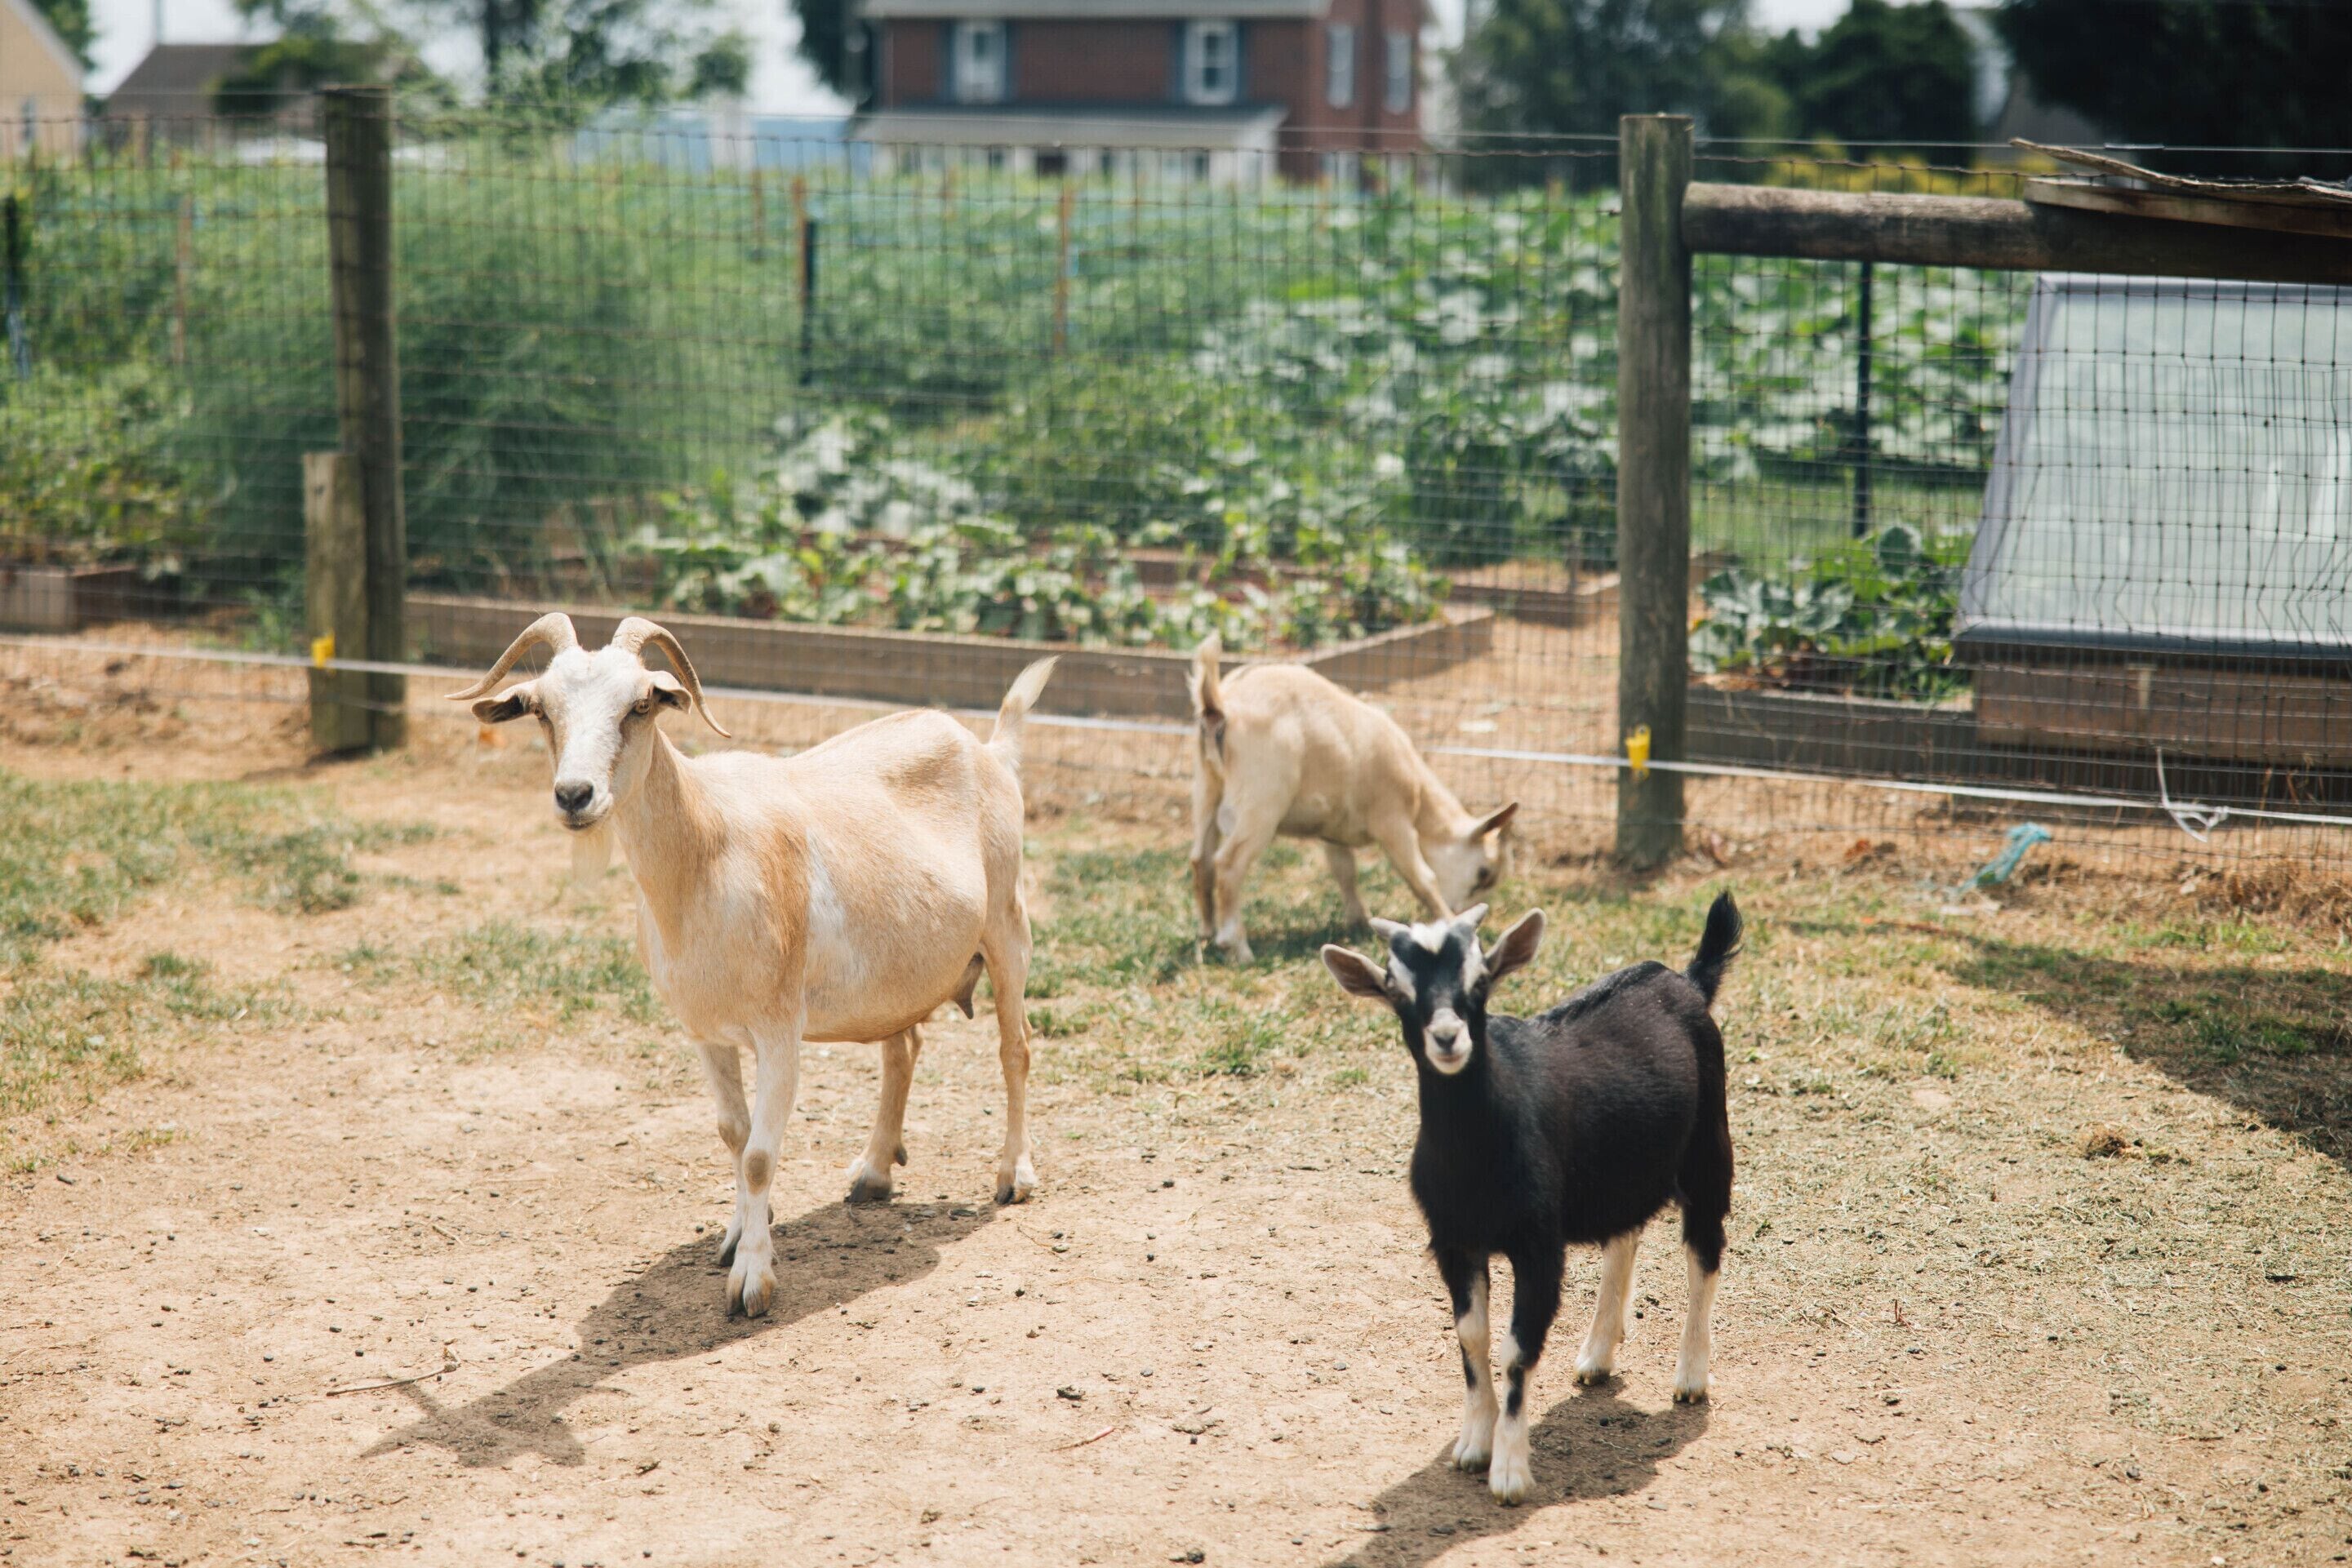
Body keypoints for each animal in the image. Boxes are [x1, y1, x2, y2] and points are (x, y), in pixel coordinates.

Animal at [451, 613, 1055, 1317]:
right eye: (542, 709)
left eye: (640, 704)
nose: (576, 795)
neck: (706, 848)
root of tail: (990, 749)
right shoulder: (705, 1032)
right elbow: (733, 1137)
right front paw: (737, 1235)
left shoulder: (779, 1028)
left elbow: (762, 1155)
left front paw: (751, 1282)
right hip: (896, 974)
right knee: (903, 1049)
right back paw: (873, 1172)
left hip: (1008, 924)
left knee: (1016, 1047)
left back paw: (1013, 1175)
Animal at [1188, 635, 1515, 963]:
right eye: (1484, 873)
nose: (1467, 916)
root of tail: (1219, 706)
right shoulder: (1393, 820)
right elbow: (1422, 876)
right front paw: (1447, 921)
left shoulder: (1332, 831)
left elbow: (1345, 871)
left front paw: (1360, 921)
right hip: (1262, 799)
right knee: (1228, 863)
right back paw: (1237, 947)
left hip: (1206, 789)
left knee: (1201, 859)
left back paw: (1206, 933)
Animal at [1319, 893, 1741, 1503]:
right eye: (1397, 988)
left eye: (1480, 980)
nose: (1447, 1036)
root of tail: (1685, 981)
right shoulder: (1453, 1242)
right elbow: (1472, 1336)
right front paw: (1474, 1442)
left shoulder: (1539, 1246)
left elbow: (1517, 1350)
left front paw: (1510, 1471)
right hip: (1620, 1169)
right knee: (1625, 1235)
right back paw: (1597, 1354)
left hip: (1708, 1148)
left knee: (1704, 1251)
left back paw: (1689, 1377)